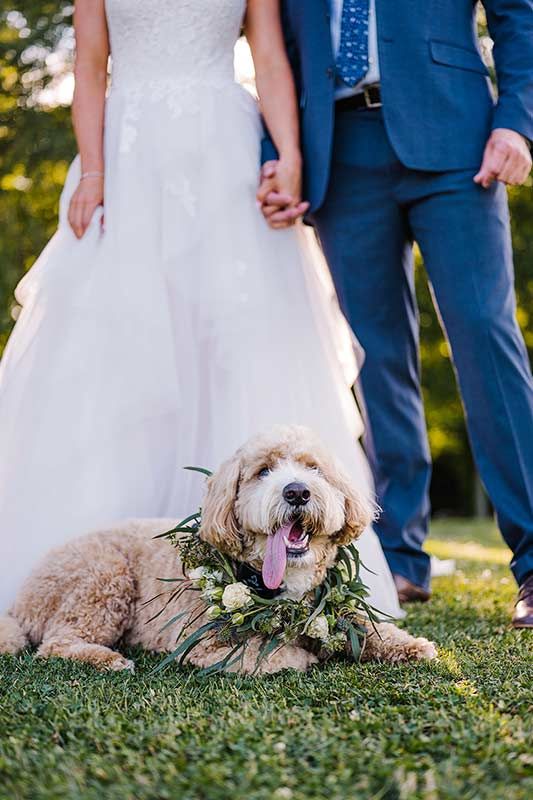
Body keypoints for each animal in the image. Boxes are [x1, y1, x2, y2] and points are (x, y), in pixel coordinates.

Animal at [0, 428, 436, 672]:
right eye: (263, 471)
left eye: (314, 468)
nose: (297, 491)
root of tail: (19, 601)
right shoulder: (206, 645)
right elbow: (263, 652)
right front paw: (301, 655)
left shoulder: (330, 606)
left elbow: (368, 626)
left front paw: (411, 645)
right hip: (103, 576)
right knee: (57, 643)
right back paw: (108, 659)